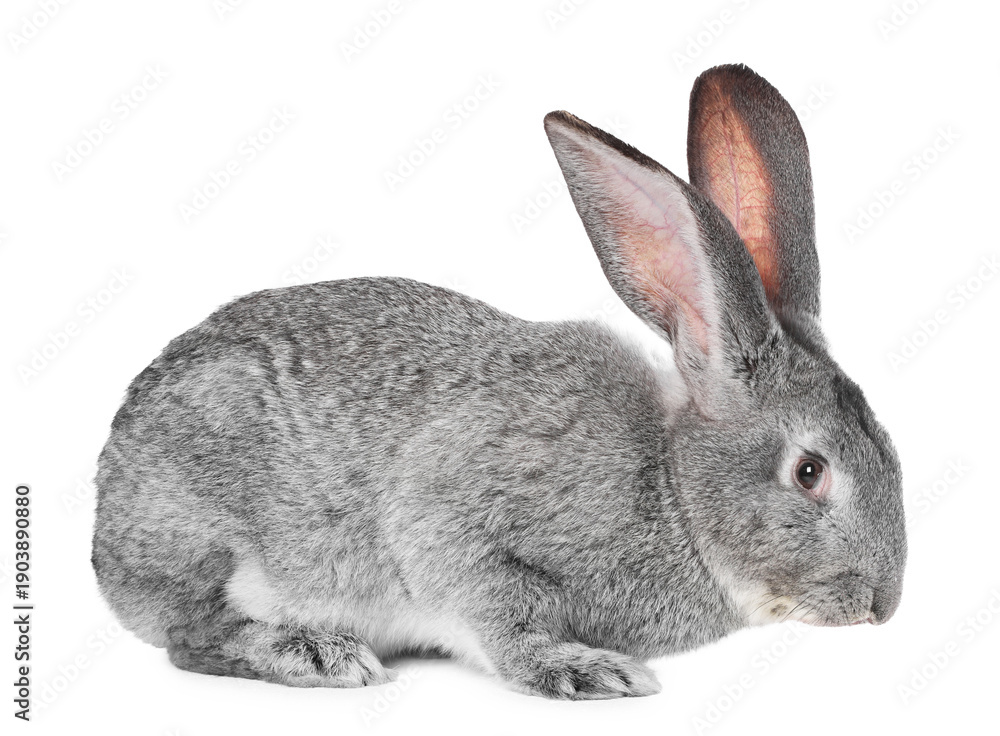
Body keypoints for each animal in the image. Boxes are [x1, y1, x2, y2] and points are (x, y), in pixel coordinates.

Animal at [91, 63, 906, 700]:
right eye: (809, 472)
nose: (883, 603)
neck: (672, 488)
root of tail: (104, 522)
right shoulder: (454, 516)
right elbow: (499, 610)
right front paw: (584, 670)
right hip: (207, 534)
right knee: (191, 636)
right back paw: (316, 654)